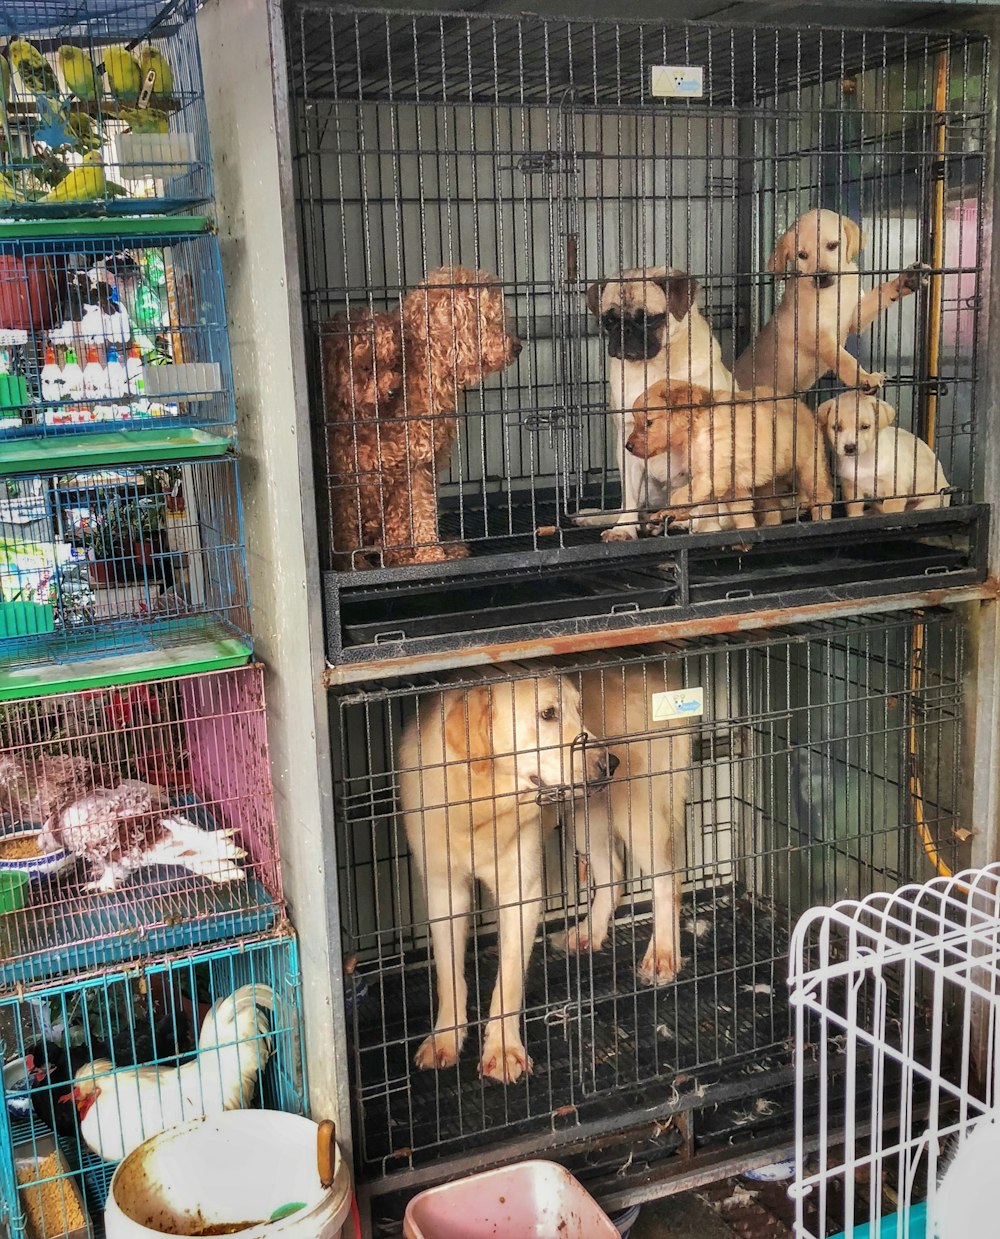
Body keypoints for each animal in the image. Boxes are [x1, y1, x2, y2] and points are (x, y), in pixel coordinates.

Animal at [396, 664, 688, 1080]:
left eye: (580, 709)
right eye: (548, 714)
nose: (610, 763)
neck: (481, 803)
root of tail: (660, 675)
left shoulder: (523, 893)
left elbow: (508, 981)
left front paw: (503, 1051)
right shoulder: (442, 891)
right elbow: (449, 976)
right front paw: (445, 1038)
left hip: (637, 811)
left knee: (668, 881)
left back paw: (663, 955)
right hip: (586, 817)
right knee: (614, 874)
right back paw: (587, 933)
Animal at [579, 268, 733, 540]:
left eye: (648, 320)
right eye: (609, 321)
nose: (624, 331)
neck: (655, 365)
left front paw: (708, 527)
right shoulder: (627, 442)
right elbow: (629, 500)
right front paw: (623, 529)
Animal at [624, 376, 837, 532]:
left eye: (649, 422)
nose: (627, 446)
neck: (695, 430)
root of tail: (806, 409)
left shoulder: (710, 477)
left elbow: (680, 495)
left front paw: (664, 513)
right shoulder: (732, 488)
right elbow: (741, 515)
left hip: (810, 466)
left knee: (823, 495)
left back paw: (822, 520)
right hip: (767, 483)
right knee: (773, 507)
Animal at [817, 394, 951, 515]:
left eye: (865, 427)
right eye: (836, 427)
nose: (850, 447)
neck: (863, 460)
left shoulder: (895, 490)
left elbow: (890, 510)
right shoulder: (851, 488)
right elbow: (855, 509)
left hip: (928, 503)